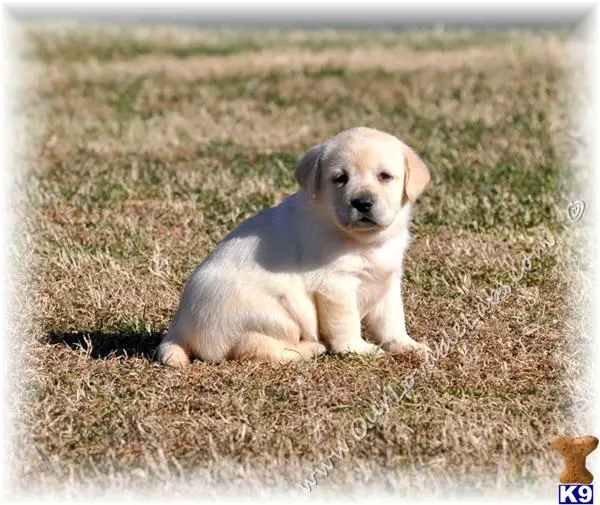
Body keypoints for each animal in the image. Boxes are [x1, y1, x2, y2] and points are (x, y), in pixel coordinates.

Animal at [157, 127, 432, 366]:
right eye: (340, 179)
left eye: (385, 176)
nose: (362, 202)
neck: (363, 241)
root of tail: (177, 330)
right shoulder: (335, 286)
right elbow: (346, 323)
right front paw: (359, 349)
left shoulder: (387, 281)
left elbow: (392, 321)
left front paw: (407, 346)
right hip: (273, 315)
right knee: (258, 350)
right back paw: (311, 348)